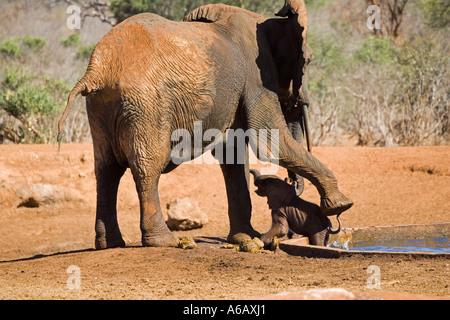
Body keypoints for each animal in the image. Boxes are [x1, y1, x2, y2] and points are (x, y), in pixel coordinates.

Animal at [57, 0, 352, 249]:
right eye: (309, 60)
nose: (291, 184)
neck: (267, 21)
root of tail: (97, 69)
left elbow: (232, 154)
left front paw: (245, 238)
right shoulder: (257, 77)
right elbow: (267, 139)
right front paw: (341, 204)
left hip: (101, 107)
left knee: (106, 169)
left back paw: (110, 244)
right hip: (145, 104)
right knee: (147, 166)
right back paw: (164, 242)